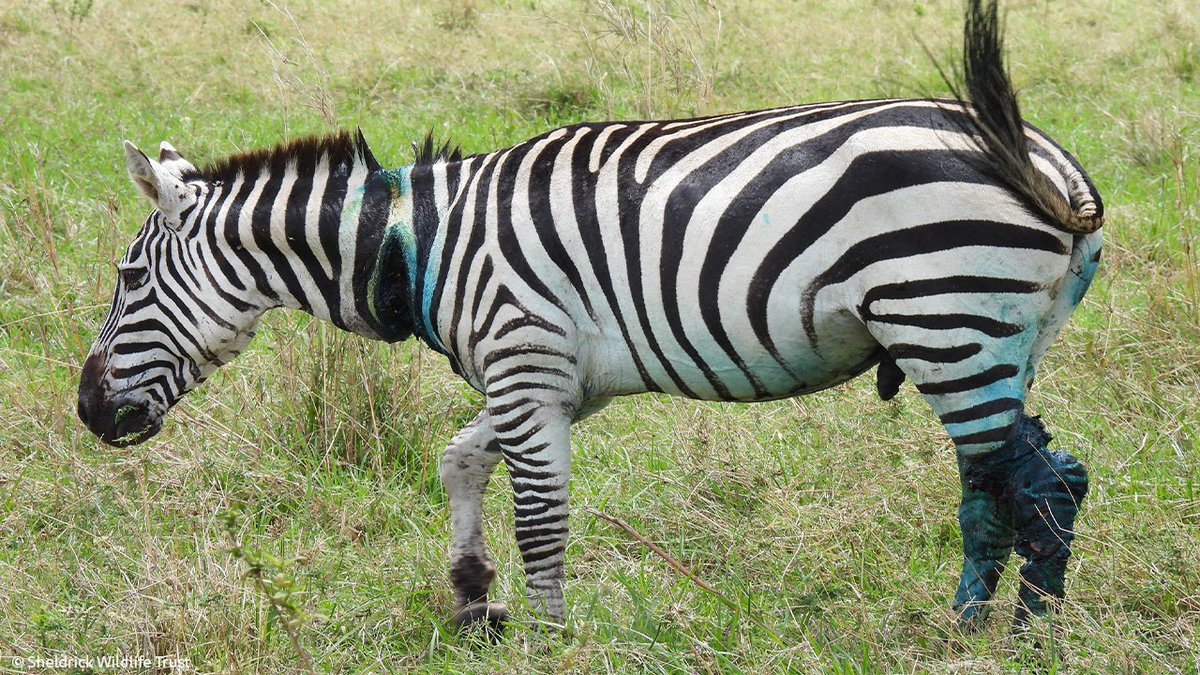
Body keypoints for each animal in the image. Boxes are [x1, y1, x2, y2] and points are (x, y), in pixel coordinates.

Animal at [78, 0, 1103, 632]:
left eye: (129, 277)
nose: (87, 411)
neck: (418, 242)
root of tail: (1043, 160)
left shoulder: (526, 365)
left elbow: (540, 515)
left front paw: (546, 632)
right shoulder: (555, 382)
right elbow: (459, 460)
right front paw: (473, 599)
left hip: (946, 322)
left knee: (1039, 488)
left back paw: (1017, 635)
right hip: (989, 343)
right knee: (1011, 484)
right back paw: (979, 623)